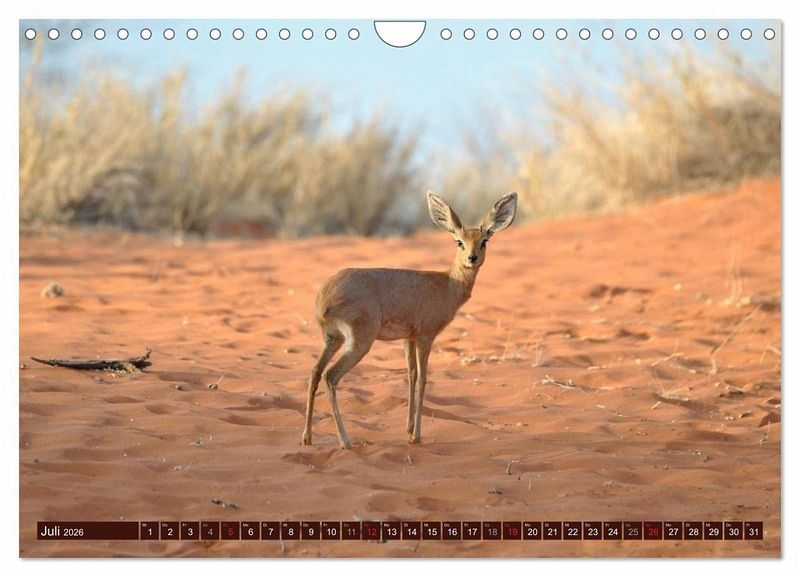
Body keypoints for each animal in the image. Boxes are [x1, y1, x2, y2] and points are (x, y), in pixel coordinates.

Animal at [301, 191, 517, 449]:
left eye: (484, 240)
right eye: (459, 241)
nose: (472, 258)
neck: (447, 284)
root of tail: (323, 297)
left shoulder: (408, 338)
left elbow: (411, 375)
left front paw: (408, 429)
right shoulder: (426, 336)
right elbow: (423, 378)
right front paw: (416, 436)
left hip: (332, 339)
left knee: (315, 371)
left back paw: (307, 438)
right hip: (359, 342)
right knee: (330, 376)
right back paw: (346, 441)